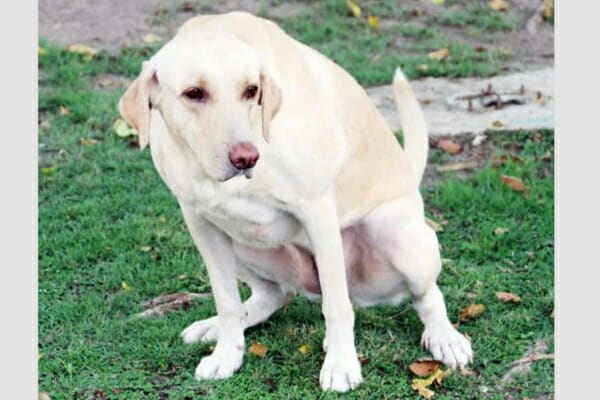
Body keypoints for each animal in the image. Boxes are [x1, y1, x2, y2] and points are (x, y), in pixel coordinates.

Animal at [119, 10, 472, 392]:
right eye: (193, 93)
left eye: (251, 90)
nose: (245, 158)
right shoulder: (201, 224)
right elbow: (227, 301)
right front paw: (227, 355)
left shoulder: (316, 210)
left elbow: (337, 307)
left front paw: (341, 364)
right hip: (241, 241)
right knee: (273, 295)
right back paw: (213, 326)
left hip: (395, 234)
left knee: (426, 295)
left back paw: (445, 338)